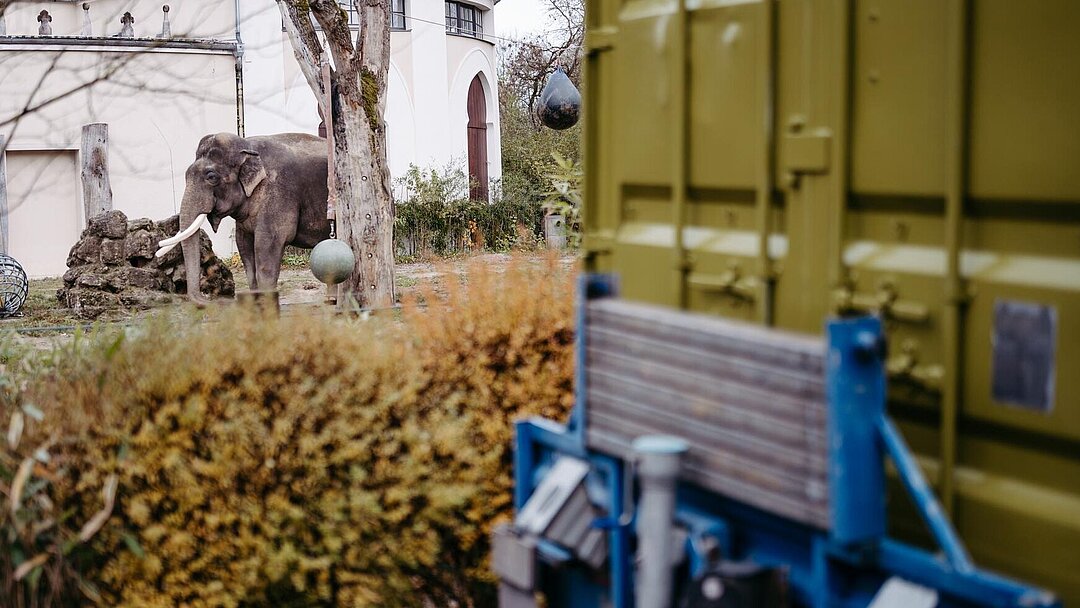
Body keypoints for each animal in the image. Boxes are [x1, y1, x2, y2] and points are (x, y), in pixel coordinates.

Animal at [154, 134, 326, 302]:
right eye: (186, 175)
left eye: (211, 177)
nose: (209, 298)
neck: (248, 146)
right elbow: (244, 247)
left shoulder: (278, 194)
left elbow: (267, 246)